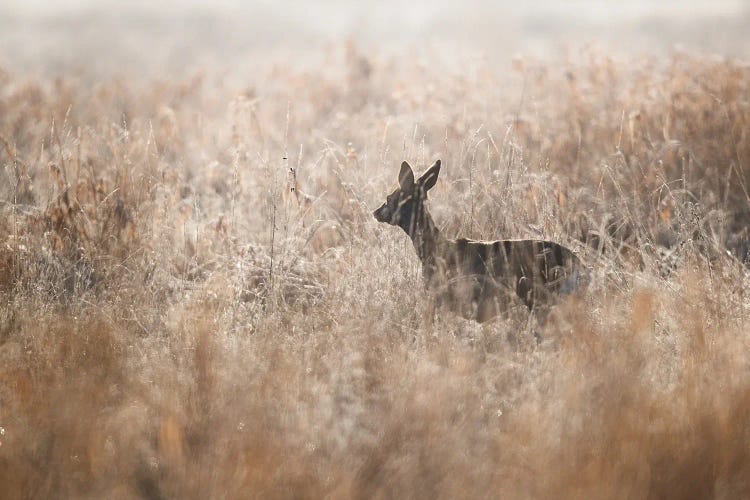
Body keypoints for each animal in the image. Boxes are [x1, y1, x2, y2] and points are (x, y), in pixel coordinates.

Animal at [374, 162, 588, 322]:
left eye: (389, 198)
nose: (376, 212)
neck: (433, 249)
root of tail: (581, 266)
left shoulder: (439, 295)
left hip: (539, 294)